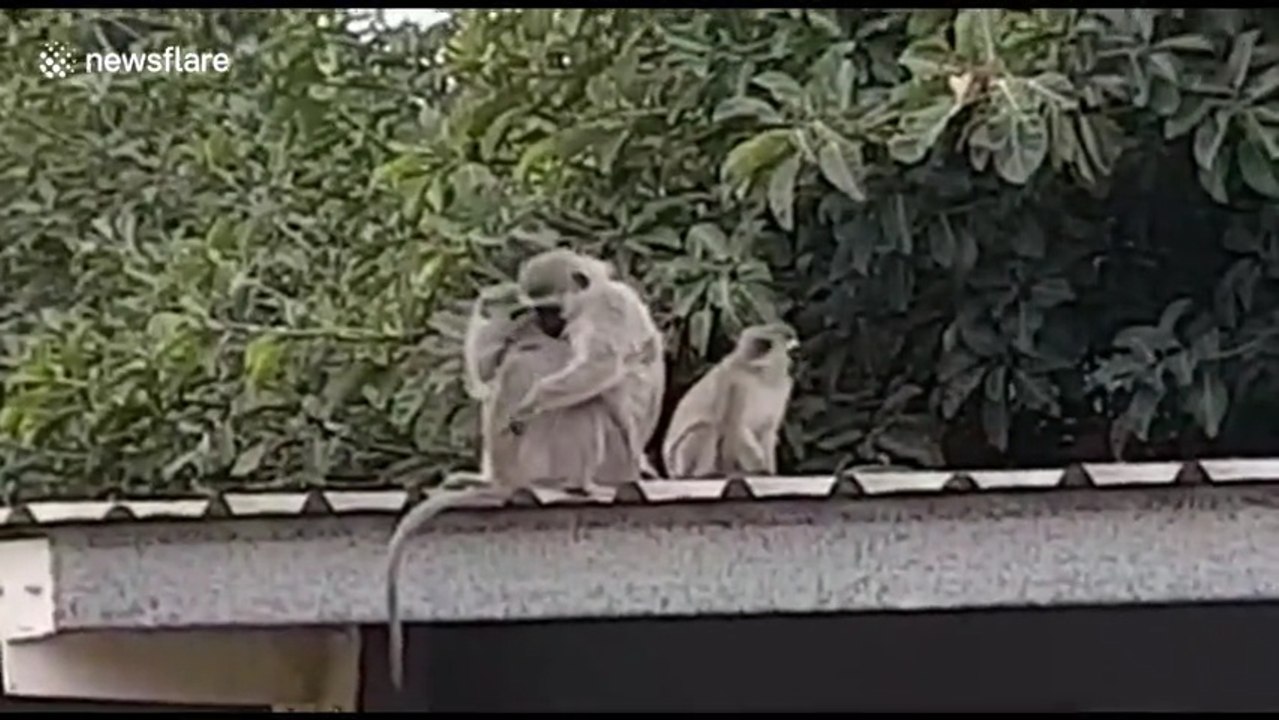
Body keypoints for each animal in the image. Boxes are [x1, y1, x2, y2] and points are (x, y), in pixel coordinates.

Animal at [505, 248, 666, 481]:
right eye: (537, 309)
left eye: (549, 309)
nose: (545, 324)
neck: (594, 294)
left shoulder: (599, 312)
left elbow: (602, 365)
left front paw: (530, 402)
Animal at [662, 322, 799, 479]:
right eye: (789, 349)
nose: (794, 360)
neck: (760, 375)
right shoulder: (736, 384)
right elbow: (733, 424)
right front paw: (759, 467)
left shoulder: (783, 388)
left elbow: (767, 429)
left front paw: (768, 469)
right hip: (680, 459)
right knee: (707, 428)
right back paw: (705, 473)